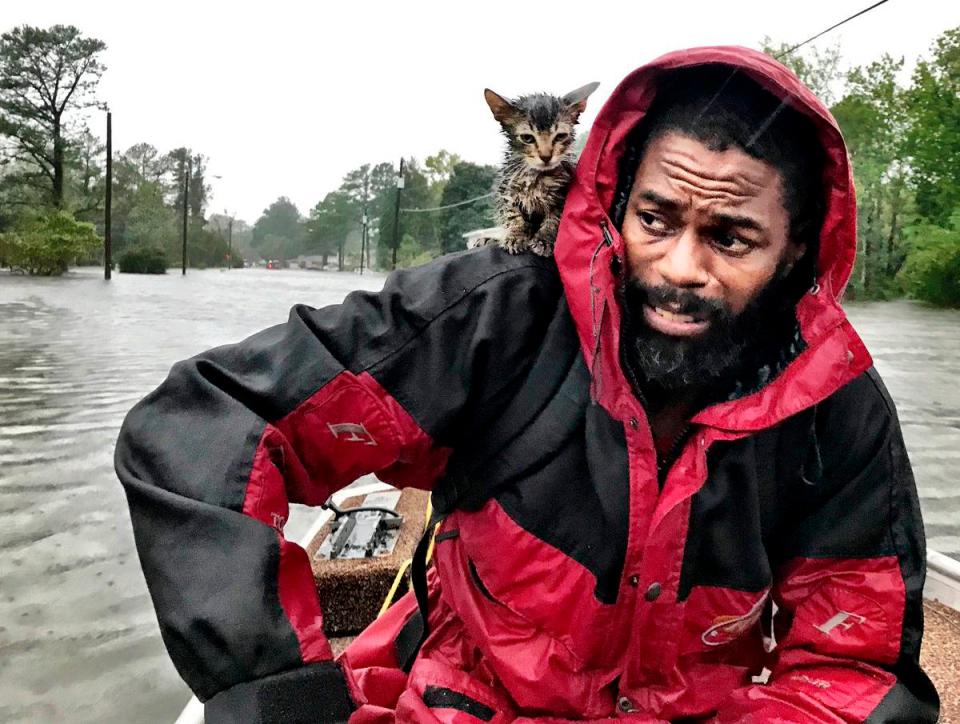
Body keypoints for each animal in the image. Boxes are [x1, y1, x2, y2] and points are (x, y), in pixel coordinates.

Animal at [480, 81, 600, 256]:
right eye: (527, 138)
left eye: (560, 136)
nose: (546, 156)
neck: (537, 176)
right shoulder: (506, 191)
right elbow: (512, 214)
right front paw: (515, 235)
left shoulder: (562, 196)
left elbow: (554, 219)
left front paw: (544, 239)